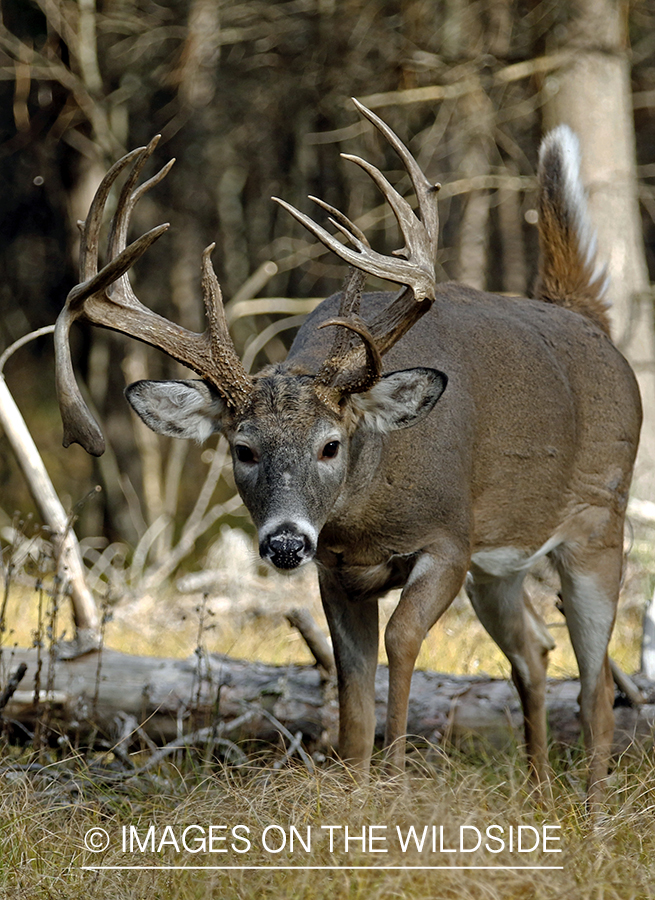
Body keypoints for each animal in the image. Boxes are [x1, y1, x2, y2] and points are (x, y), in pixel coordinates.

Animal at [53, 102, 644, 804]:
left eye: (330, 444)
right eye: (243, 449)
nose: (285, 542)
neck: (366, 516)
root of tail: (593, 325)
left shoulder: (449, 540)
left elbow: (403, 643)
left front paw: (395, 784)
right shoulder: (337, 572)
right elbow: (354, 699)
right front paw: (358, 794)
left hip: (598, 524)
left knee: (598, 685)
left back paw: (593, 806)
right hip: (501, 563)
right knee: (534, 651)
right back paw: (539, 793)